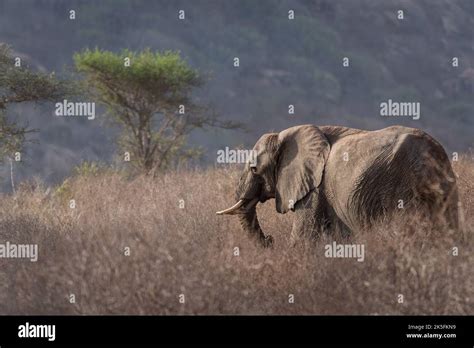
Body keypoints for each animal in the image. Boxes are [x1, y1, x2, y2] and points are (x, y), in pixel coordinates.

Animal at [218, 125, 460, 247]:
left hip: (401, 188)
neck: (283, 136)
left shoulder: (315, 188)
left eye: (254, 170)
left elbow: (304, 237)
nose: (270, 239)